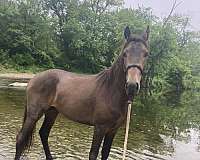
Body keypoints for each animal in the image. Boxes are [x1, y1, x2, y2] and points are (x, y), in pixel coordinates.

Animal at [14, 25, 149, 159]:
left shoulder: (113, 130)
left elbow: (105, 153)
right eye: (125, 53)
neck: (111, 91)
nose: (132, 85)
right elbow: (93, 154)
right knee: (21, 138)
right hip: (34, 114)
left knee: (43, 133)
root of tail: (34, 78)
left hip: (52, 112)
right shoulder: (100, 128)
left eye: (146, 54)